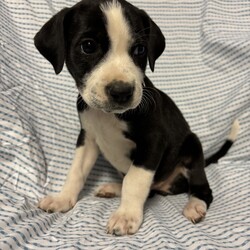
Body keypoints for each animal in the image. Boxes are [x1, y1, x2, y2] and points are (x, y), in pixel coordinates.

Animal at [34, 0, 239, 236]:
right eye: (88, 46)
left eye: (140, 49)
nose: (122, 92)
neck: (108, 116)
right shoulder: (87, 138)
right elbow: (76, 171)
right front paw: (63, 199)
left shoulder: (153, 141)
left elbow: (134, 180)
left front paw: (126, 216)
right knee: (146, 189)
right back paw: (114, 188)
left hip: (192, 147)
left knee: (203, 189)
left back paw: (195, 205)